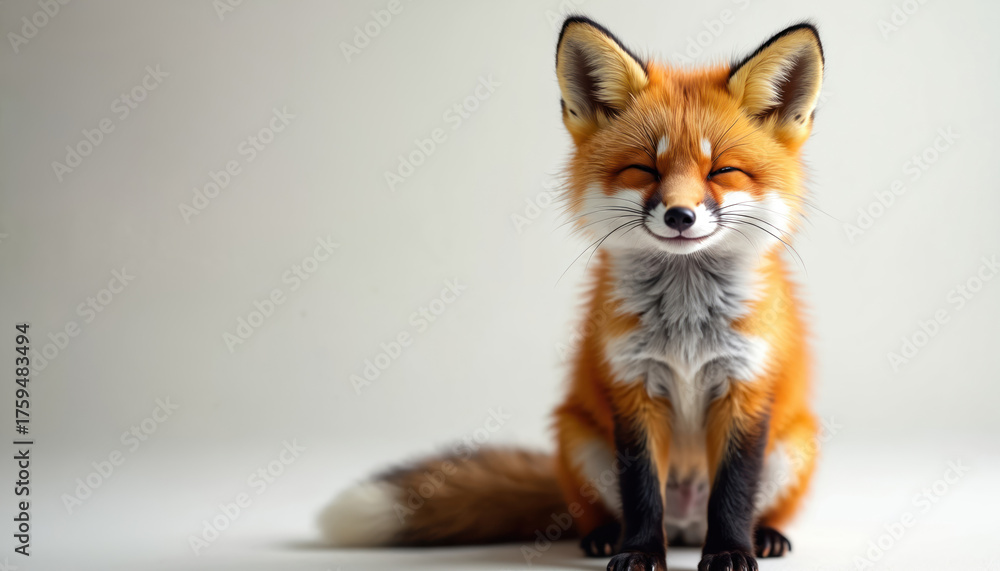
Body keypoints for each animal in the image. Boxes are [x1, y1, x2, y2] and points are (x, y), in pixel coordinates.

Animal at [320, 17, 825, 571]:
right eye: (644, 169)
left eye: (722, 171)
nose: (679, 215)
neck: (686, 327)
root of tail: (685, 526)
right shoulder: (632, 390)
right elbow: (641, 492)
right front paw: (638, 553)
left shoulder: (746, 391)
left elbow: (733, 491)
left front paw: (731, 552)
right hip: (579, 439)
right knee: (605, 512)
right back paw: (605, 535)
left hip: (793, 447)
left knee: (749, 506)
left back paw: (765, 535)